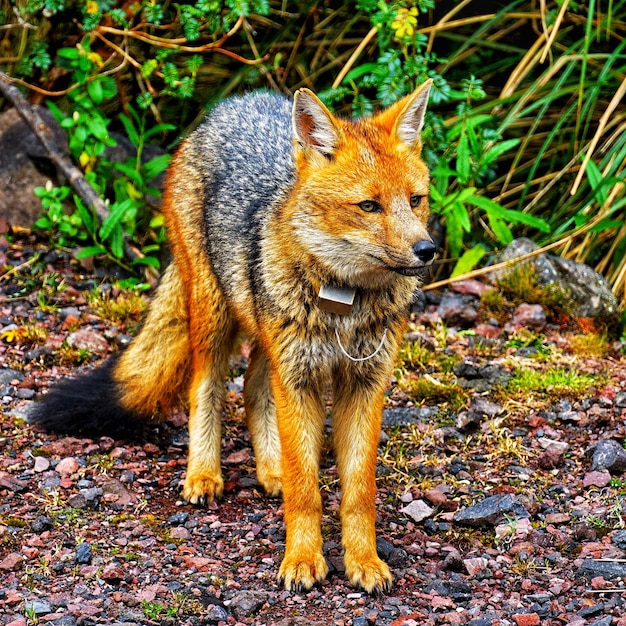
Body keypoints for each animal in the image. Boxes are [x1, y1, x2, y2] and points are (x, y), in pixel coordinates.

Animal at [29, 80, 434, 592]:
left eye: (416, 200)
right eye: (369, 206)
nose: (427, 250)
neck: (344, 305)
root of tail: (237, 102)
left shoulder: (365, 383)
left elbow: (358, 492)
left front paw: (363, 560)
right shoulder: (298, 379)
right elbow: (306, 491)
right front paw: (302, 558)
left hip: (263, 333)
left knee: (254, 387)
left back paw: (271, 467)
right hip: (214, 317)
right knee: (208, 388)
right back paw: (203, 473)